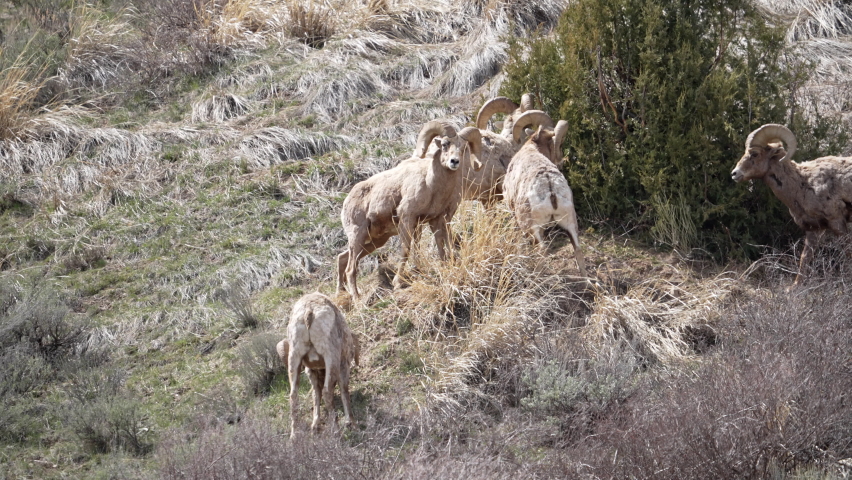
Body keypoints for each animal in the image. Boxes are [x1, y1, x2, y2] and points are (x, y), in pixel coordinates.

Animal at [276, 292, 360, 438]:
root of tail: (309, 311)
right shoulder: (343, 367)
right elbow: (344, 391)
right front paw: (352, 424)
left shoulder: (311, 371)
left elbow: (316, 394)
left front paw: (315, 426)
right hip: (330, 357)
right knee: (327, 391)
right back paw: (336, 432)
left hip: (294, 358)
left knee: (293, 395)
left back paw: (294, 436)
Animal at [337, 120, 483, 300]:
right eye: (445, 144)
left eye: (463, 148)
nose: (454, 162)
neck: (430, 185)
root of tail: (347, 199)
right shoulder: (407, 219)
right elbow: (406, 249)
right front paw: (398, 283)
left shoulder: (434, 221)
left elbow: (440, 245)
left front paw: (444, 266)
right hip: (358, 235)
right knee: (351, 269)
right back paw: (357, 299)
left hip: (374, 241)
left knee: (342, 259)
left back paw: (341, 293)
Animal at [502, 110, 588, 275]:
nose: (560, 160)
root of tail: (550, 187)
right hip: (570, 222)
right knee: (578, 249)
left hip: (532, 227)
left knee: (541, 250)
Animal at [731, 123, 852, 285]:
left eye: (755, 154)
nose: (734, 174)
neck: (803, 183)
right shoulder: (814, 228)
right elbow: (805, 258)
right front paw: (795, 287)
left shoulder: (837, 223)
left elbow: (848, 252)